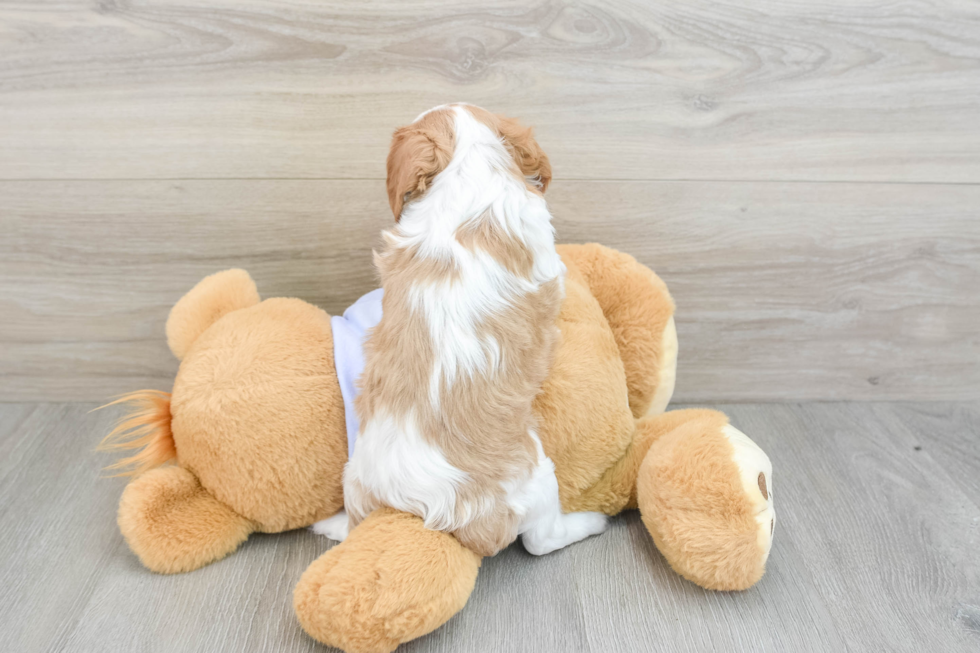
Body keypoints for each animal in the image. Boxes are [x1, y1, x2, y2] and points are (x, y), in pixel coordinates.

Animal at [330, 103, 604, 556]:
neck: (469, 168)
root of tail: (425, 509)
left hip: (353, 477)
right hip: (537, 474)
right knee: (541, 541)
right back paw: (591, 522)